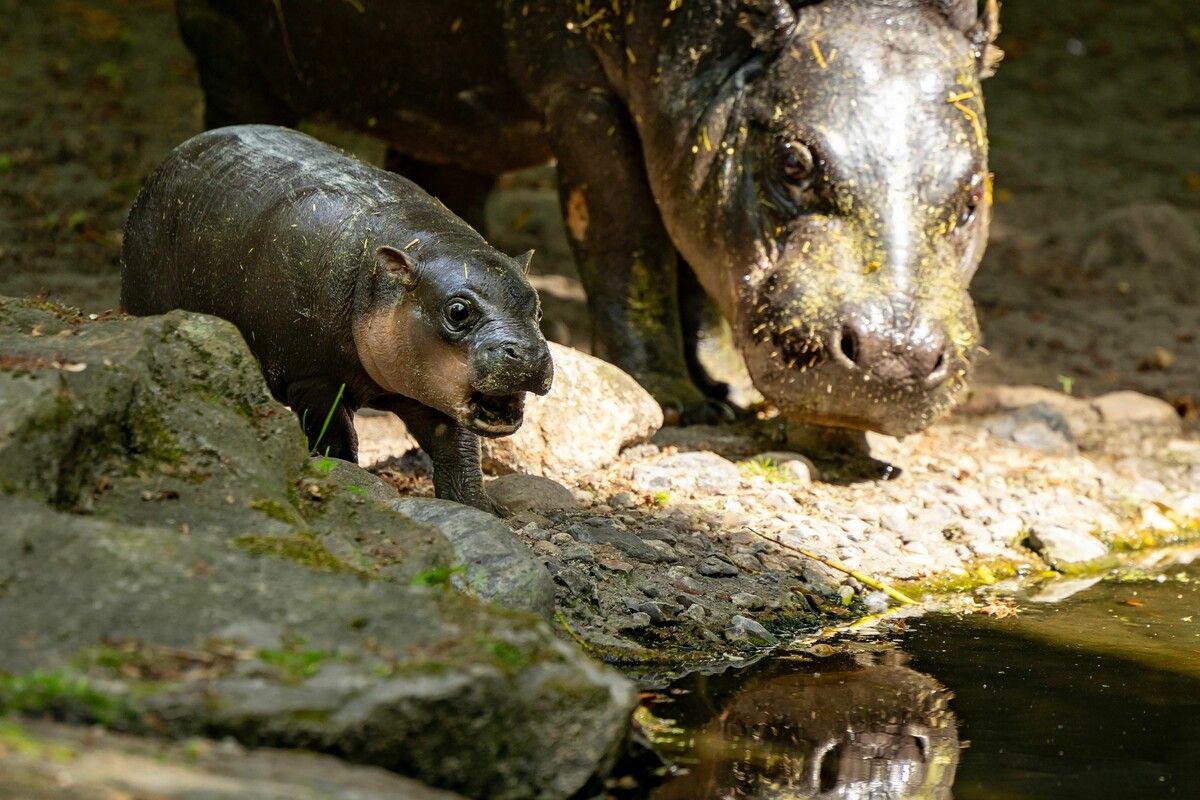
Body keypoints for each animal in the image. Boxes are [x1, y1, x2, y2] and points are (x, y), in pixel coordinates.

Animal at [121, 125, 553, 513]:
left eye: (537, 306)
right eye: (457, 311)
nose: (529, 354)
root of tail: (175, 153)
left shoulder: (431, 388)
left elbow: (458, 448)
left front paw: (484, 509)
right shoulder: (313, 378)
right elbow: (338, 440)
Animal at [176, 0, 1001, 435]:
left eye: (972, 193)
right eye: (793, 161)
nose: (894, 356)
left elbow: (685, 247)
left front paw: (722, 392)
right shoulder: (581, 89)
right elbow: (625, 232)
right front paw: (678, 401)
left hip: (450, 114)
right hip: (230, 44)